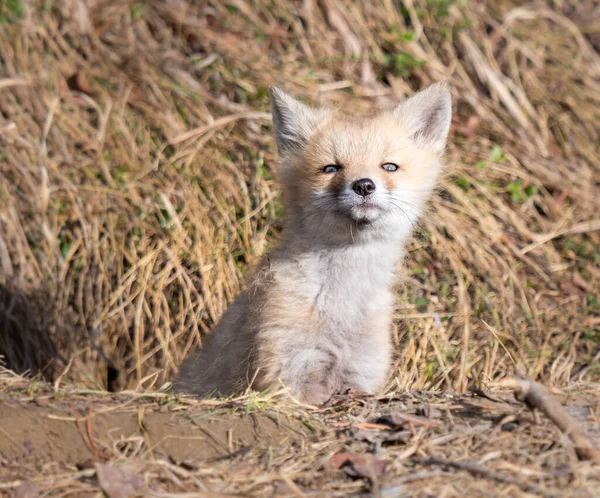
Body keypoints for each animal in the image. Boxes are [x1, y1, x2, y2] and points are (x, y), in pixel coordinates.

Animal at [173, 85, 450, 404]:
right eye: (330, 168)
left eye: (389, 167)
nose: (364, 185)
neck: (342, 308)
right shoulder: (288, 373)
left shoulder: (359, 376)